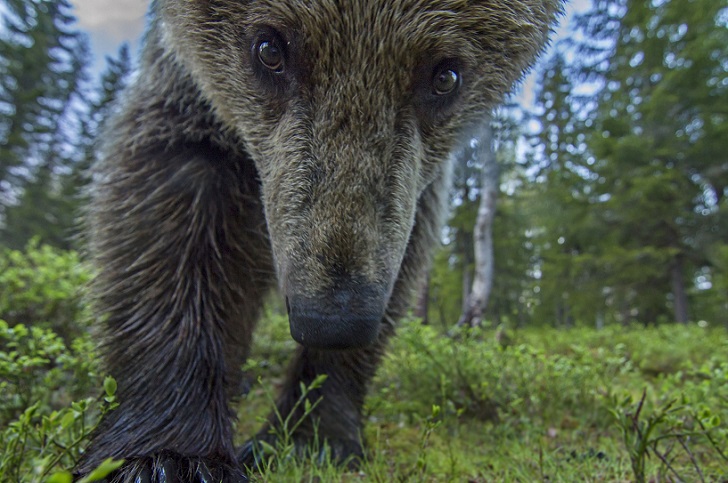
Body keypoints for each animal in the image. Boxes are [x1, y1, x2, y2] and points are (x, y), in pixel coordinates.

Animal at [75, 0, 564, 480]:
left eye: (446, 76)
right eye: (269, 49)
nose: (335, 321)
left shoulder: (415, 184)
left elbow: (410, 243)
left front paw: (311, 437)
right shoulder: (183, 87)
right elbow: (167, 203)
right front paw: (168, 457)